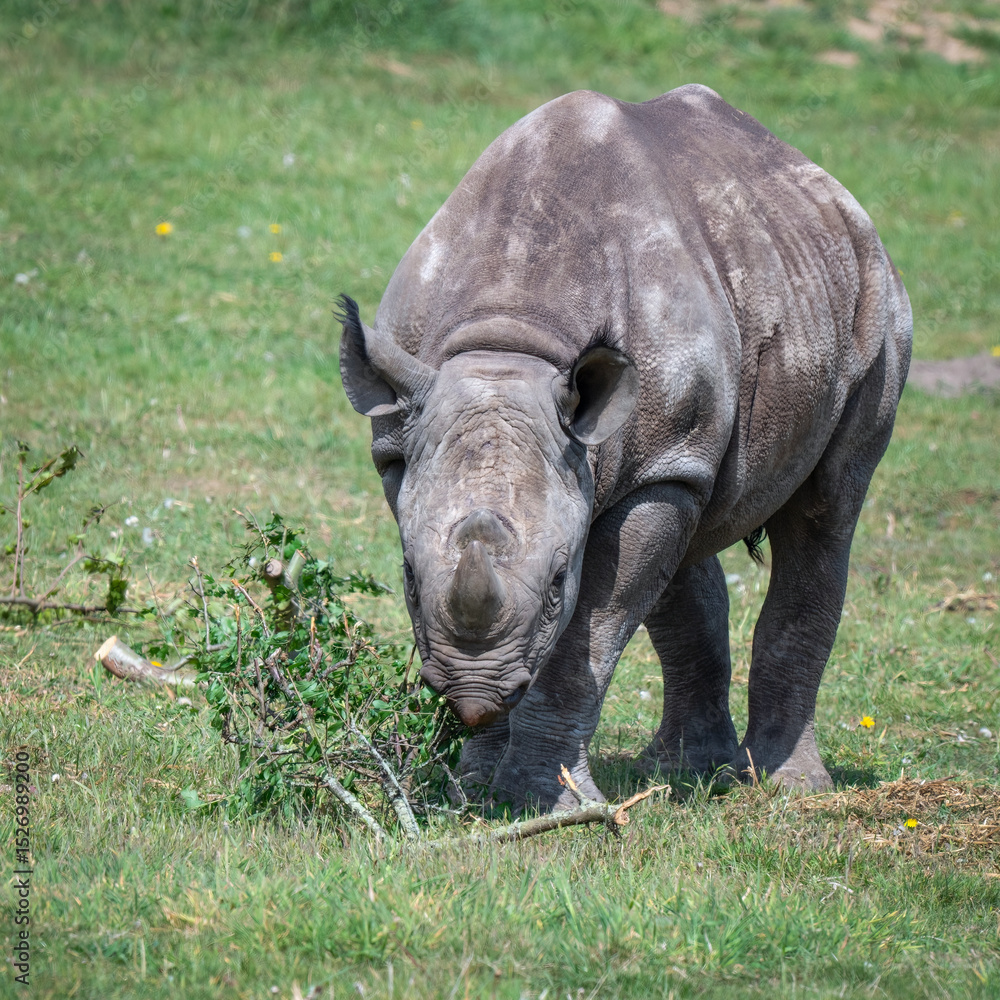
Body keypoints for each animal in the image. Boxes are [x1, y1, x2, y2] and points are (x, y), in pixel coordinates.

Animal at [338, 84, 912, 811]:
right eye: (407, 582)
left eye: (559, 583)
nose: (476, 693)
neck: (510, 341)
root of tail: (832, 190)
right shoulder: (403, 447)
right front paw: (477, 787)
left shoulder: (652, 468)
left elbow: (594, 629)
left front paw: (546, 803)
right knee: (690, 543)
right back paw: (686, 771)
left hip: (876, 304)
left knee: (824, 514)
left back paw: (788, 788)